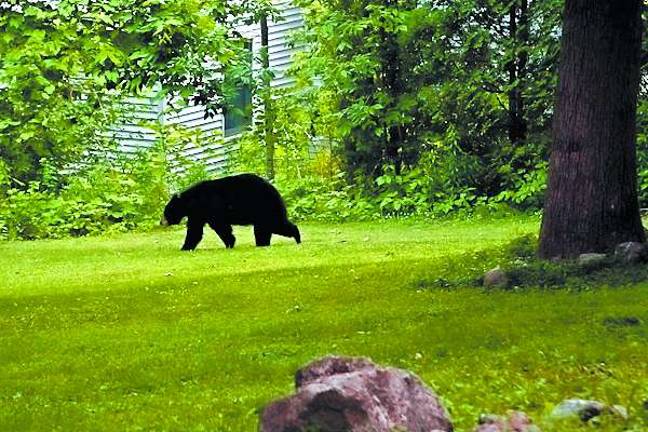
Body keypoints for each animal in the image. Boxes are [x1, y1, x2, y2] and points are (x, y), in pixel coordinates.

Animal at [162, 174, 304, 251]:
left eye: (165, 212)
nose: (161, 222)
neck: (191, 200)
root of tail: (276, 190)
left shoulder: (209, 206)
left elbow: (218, 226)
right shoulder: (199, 213)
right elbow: (196, 229)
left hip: (265, 207)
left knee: (275, 225)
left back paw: (296, 237)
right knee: (265, 229)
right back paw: (262, 244)